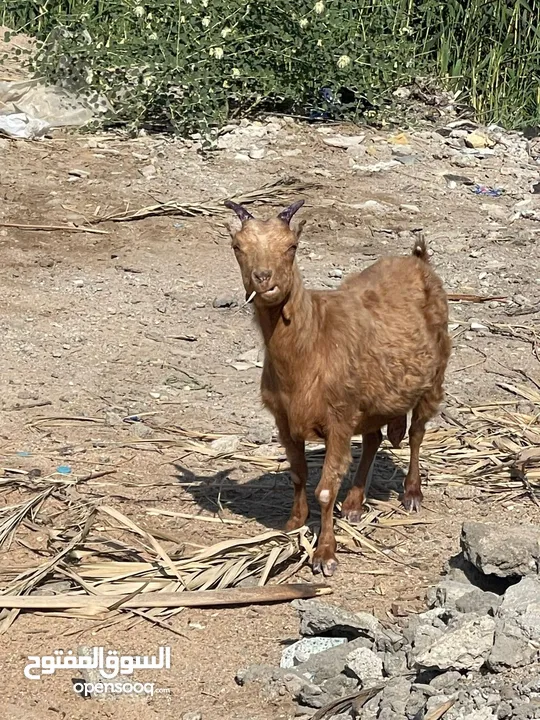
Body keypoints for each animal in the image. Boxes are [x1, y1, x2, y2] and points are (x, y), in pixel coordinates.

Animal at [224, 200, 452, 576]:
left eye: (292, 247)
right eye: (237, 247)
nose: (263, 278)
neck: (312, 344)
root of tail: (418, 260)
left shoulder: (338, 418)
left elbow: (325, 490)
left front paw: (325, 554)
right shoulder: (285, 419)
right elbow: (298, 474)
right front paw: (294, 522)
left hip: (434, 376)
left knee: (417, 432)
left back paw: (412, 494)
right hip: (371, 398)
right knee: (374, 439)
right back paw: (356, 503)